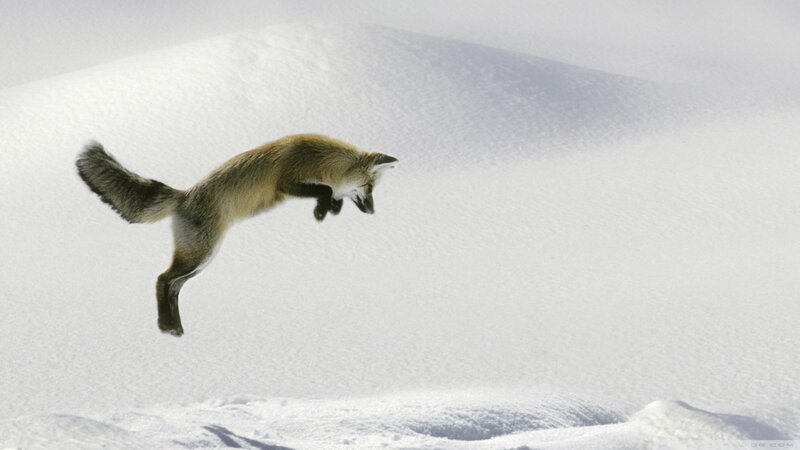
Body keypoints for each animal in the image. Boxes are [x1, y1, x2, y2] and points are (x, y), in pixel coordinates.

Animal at [76, 134, 397, 337]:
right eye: (369, 188)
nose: (372, 212)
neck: (320, 158)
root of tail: (184, 196)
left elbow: (331, 194)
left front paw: (329, 209)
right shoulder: (285, 182)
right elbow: (326, 189)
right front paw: (323, 209)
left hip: (203, 259)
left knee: (174, 287)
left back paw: (174, 329)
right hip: (200, 254)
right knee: (162, 279)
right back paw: (167, 326)